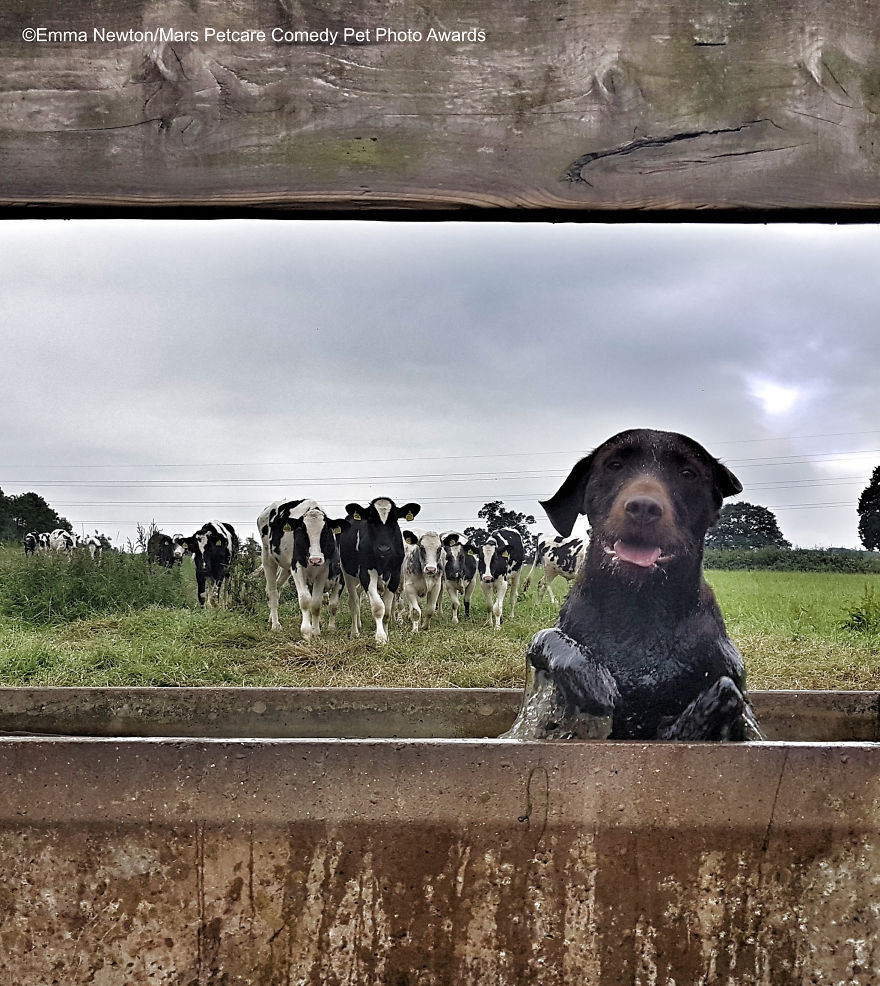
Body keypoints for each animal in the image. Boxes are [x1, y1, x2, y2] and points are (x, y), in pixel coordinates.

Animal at [257, 498, 349, 637]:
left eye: (325, 532)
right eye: (303, 531)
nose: (315, 559)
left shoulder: (324, 572)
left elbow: (317, 603)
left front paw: (316, 631)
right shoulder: (297, 568)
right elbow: (305, 600)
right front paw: (306, 631)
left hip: (286, 568)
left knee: (277, 587)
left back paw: (271, 619)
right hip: (268, 557)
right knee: (272, 591)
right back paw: (276, 625)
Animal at [338, 497, 421, 646]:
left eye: (394, 520)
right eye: (371, 520)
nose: (384, 549)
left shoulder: (395, 574)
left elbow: (387, 611)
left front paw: (386, 634)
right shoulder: (367, 573)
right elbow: (378, 607)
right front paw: (380, 638)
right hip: (347, 573)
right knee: (353, 601)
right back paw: (355, 631)